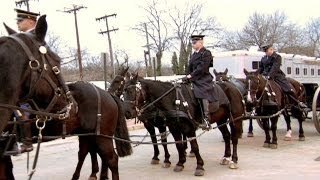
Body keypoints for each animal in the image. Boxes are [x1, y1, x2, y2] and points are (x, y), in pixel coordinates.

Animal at [0, 15, 131, 180]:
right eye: (57, 60)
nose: (70, 105)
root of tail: (107, 94)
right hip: (90, 134)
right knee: (91, 154)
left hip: (102, 136)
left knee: (111, 159)